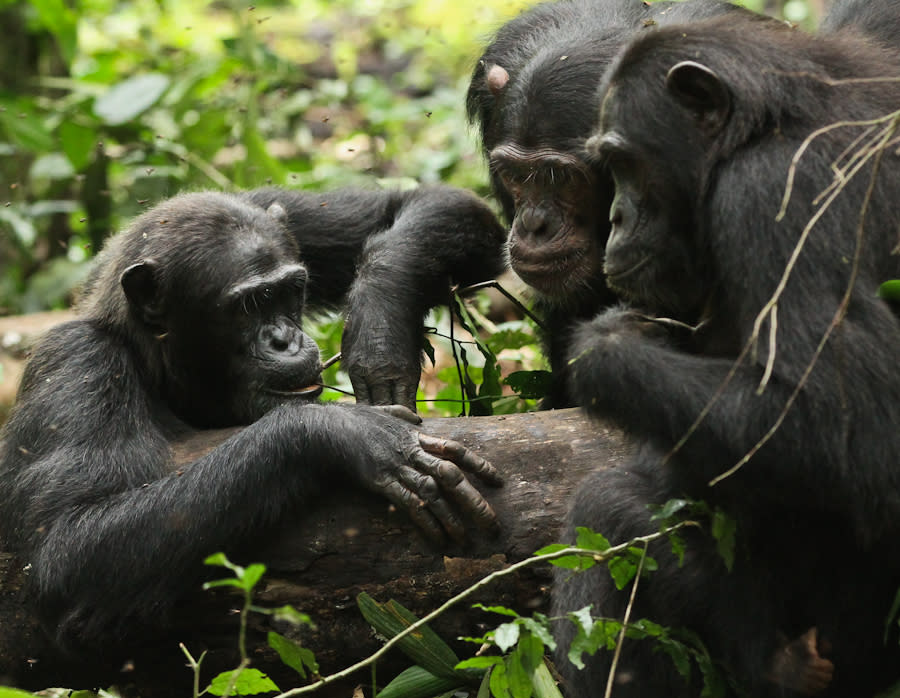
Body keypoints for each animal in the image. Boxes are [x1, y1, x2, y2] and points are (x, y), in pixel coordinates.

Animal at [0, 188, 506, 660]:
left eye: (289, 291)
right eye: (250, 304)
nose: (285, 339)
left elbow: (430, 203)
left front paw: (380, 334)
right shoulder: (77, 364)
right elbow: (68, 550)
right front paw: (346, 431)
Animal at [552, 9, 900, 696]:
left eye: (623, 162)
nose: (617, 217)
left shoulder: (772, 197)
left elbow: (849, 430)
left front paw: (606, 348)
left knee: (600, 504)